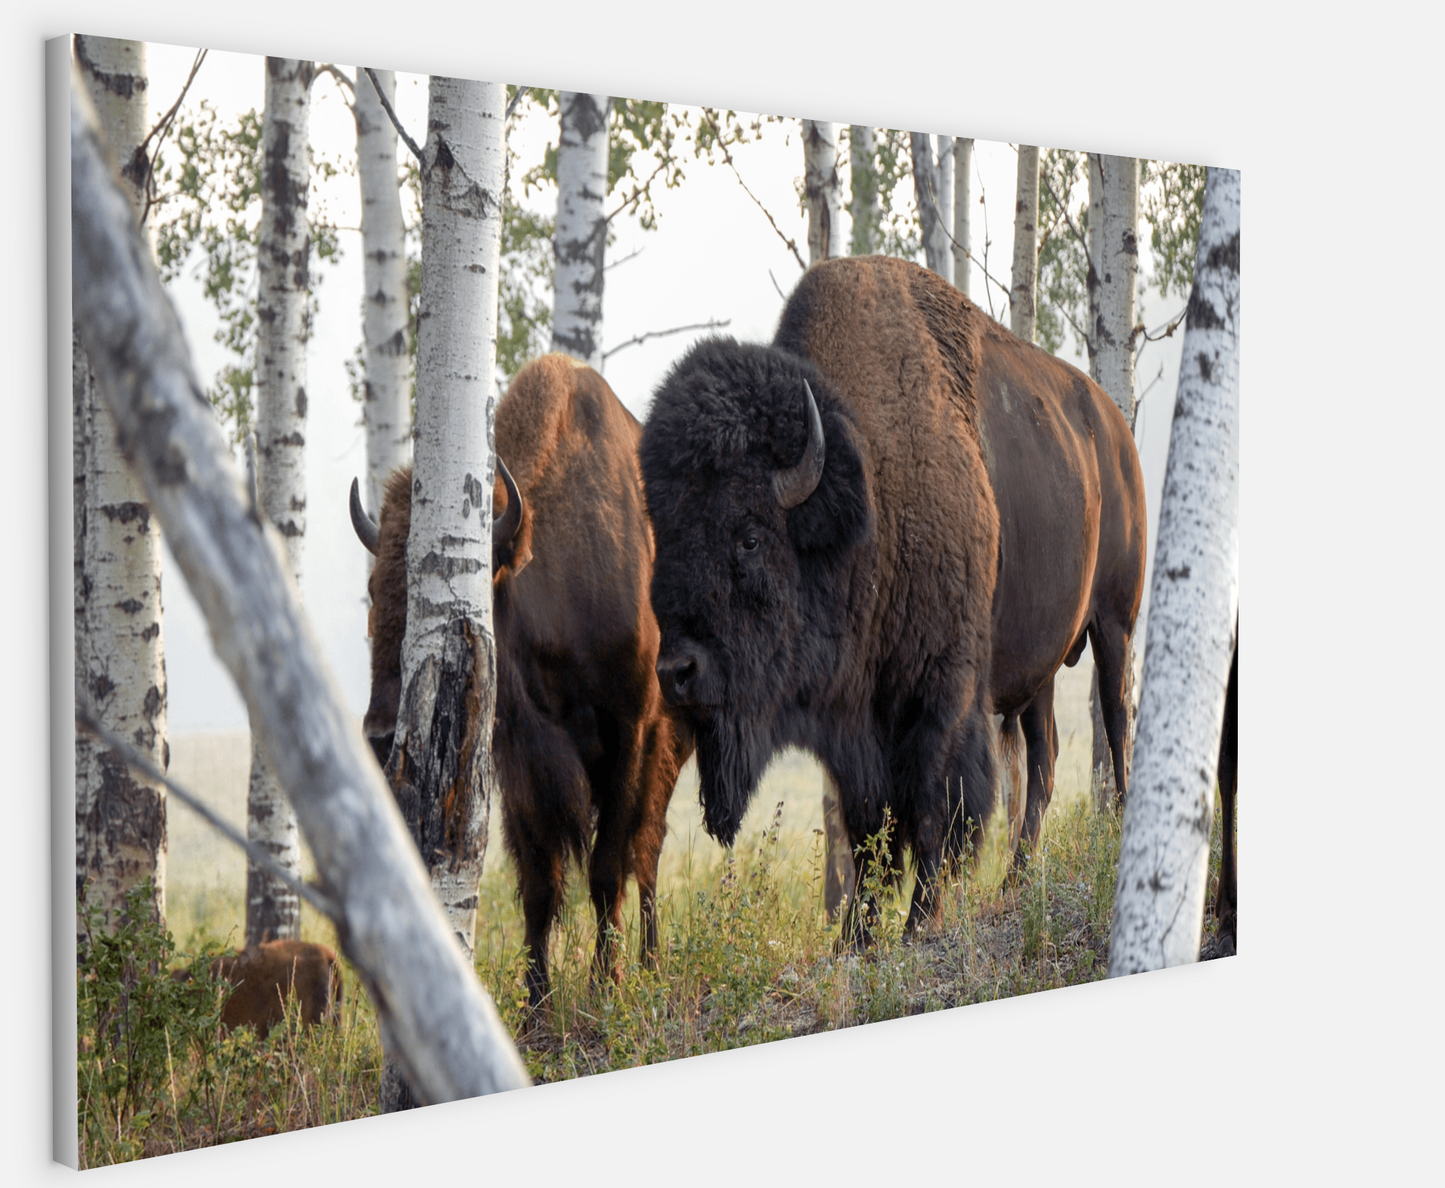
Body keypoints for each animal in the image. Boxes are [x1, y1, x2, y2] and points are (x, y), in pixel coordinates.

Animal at [349, 355, 687, 1011]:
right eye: (374, 591)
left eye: (465, 595)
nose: (378, 736)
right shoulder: (519, 761)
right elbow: (539, 881)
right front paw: (536, 1005)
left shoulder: (629, 732)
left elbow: (607, 867)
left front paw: (606, 986)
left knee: (647, 853)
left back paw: (653, 965)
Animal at [638, 258, 1144, 930]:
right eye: (664, 534)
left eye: (749, 536)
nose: (676, 672)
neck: (871, 488)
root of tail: (1115, 429)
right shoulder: (855, 725)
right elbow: (866, 828)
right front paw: (858, 933)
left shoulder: (942, 692)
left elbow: (935, 808)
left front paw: (919, 920)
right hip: (1039, 665)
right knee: (1045, 757)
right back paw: (1016, 879)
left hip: (1115, 623)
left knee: (1115, 720)